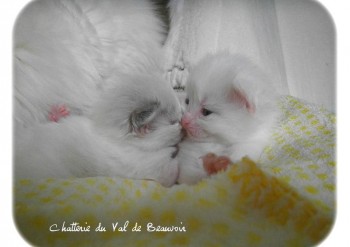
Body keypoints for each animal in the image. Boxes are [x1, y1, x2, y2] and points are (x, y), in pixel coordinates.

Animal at [178, 51, 278, 183]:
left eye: (206, 112)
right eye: (187, 101)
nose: (183, 121)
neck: (219, 143)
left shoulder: (248, 148)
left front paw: (218, 164)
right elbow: (189, 176)